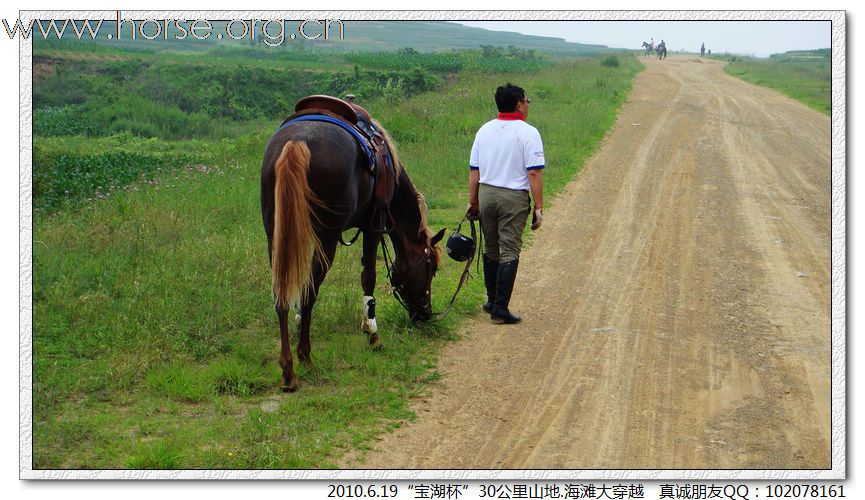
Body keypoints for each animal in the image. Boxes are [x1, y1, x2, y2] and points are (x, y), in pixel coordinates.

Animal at [260, 116, 442, 390]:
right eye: (431, 267)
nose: (425, 312)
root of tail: (296, 141)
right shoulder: (374, 227)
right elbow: (369, 278)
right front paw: (373, 334)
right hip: (326, 238)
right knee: (310, 291)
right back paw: (304, 357)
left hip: (276, 235)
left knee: (282, 292)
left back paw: (288, 367)